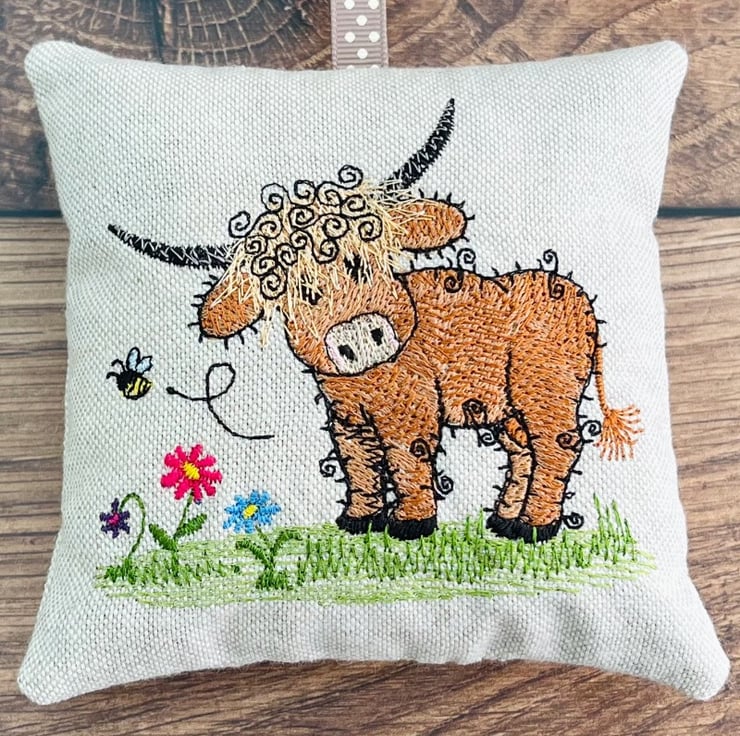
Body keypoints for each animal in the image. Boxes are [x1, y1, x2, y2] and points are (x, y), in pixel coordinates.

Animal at [109, 99, 641, 543]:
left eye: (361, 262)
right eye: (294, 294)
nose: (359, 335)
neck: (365, 381)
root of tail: (582, 301)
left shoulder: (410, 407)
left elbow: (407, 458)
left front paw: (410, 524)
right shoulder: (346, 418)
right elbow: (360, 465)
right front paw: (359, 519)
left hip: (545, 387)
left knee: (556, 446)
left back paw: (534, 526)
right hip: (508, 404)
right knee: (522, 450)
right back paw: (505, 519)